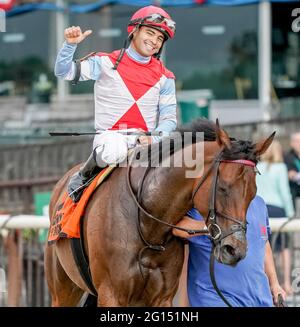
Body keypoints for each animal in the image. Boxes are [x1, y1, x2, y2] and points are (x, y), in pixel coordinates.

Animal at [44, 120, 274, 308]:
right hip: (62, 289)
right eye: (223, 188)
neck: (146, 226)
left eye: (253, 193)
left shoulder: (162, 297)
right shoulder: (111, 294)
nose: (235, 250)